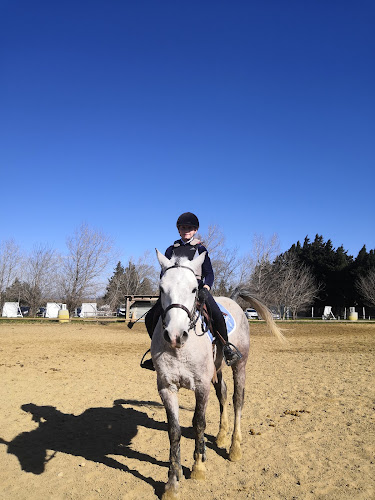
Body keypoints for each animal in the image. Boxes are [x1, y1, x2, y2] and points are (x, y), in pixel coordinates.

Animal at [151, 252, 284, 498]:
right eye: (161, 288)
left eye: (194, 289)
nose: (175, 335)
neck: (180, 350)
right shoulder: (166, 387)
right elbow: (174, 430)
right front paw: (172, 482)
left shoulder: (201, 386)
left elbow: (199, 423)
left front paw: (198, 468)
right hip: (218, 369)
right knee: (222, 394)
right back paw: (222, 436)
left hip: (239, 366)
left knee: (237, 399)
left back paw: (234, 448)